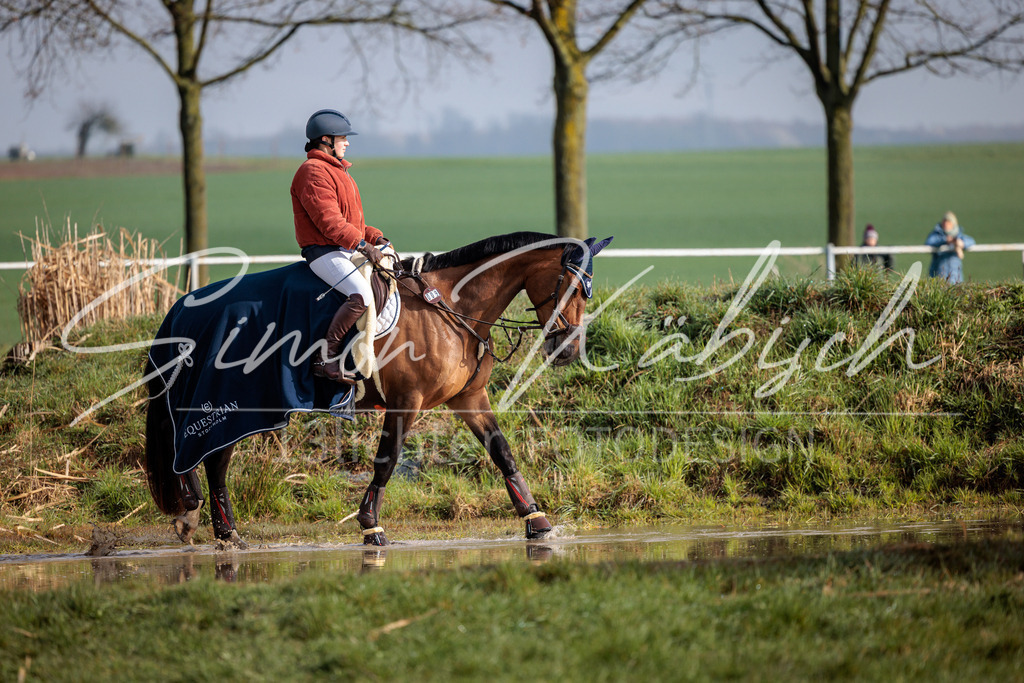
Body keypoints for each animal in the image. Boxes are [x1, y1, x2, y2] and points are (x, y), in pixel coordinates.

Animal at [144, 231, 613, 547]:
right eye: (574, 286)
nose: (568, 350)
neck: (450, 306)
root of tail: (184, 308)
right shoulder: (406, 403)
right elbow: (386, 461)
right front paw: (371, 525)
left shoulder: (468, 399)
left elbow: (502, 453)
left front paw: (536, 520)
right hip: (235, 405)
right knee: (213, 460)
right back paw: (222, 530)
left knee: (208, 461)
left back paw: (205, 523)